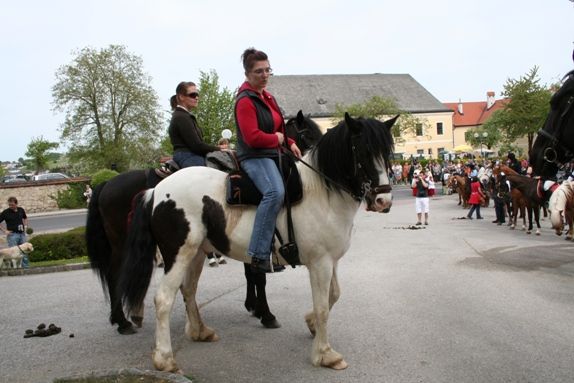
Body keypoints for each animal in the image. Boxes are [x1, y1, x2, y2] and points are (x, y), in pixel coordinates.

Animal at [88, 109, 326, 334]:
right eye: (308, 134)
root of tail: (106, 183)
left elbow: (250, 272)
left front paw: (253, 305)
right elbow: (257, 275)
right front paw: (265, 313)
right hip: (122, 243)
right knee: (115, 274)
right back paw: (122, 321)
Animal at [117, 112, 396, 374]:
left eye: (387, 152)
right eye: (363, 150)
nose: (383, 201)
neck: (321, 192)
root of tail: (155, 192)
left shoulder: (331, 261)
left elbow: (333, 295)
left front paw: (310, 324)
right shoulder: (320, 263)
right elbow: (323, 307)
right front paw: (325, 354)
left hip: (196, 253)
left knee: (188, 290)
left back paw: (200, 331)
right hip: (177, 255)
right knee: (164, 299)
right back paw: (164, 359)